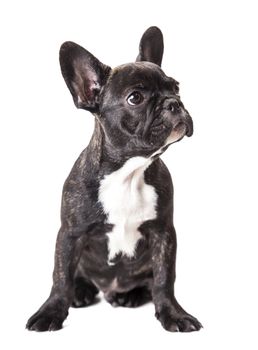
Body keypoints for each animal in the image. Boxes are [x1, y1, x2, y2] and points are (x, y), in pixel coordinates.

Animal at [27, 26, 203, 332]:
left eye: (176, 87)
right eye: (136, 98)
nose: (174, 103)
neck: (129, 172)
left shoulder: (163, 233)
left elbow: (164, 279)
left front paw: (173, 314)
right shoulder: (70, 234)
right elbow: (60, 277)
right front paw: (51, 312)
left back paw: (130, 295)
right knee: (76, 277)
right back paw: (81, 292)